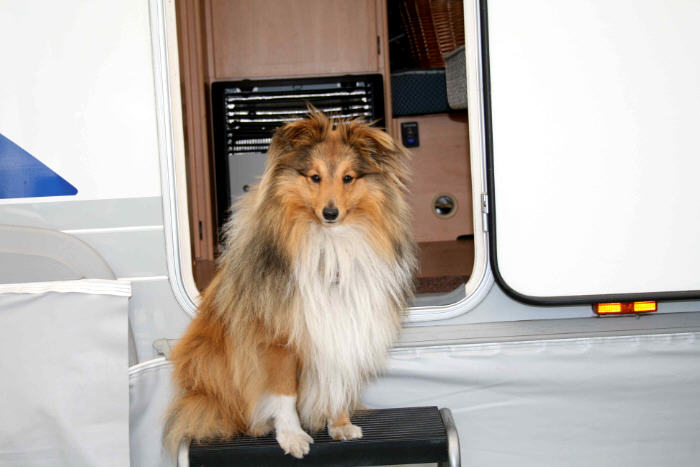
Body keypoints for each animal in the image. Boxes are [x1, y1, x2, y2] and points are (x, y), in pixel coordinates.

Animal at [163, 112, 417, 458]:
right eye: (314, 177)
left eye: (348, 178)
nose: (330, 213)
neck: (330, 246)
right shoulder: (277, 340)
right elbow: (285, 394)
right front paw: (292, 436)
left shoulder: (340, 329)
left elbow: (335, 382)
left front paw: (339, 424)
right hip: (208, 358)